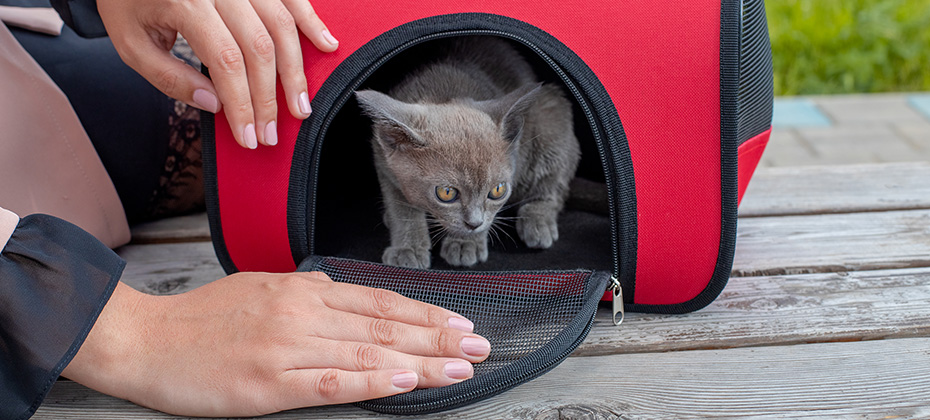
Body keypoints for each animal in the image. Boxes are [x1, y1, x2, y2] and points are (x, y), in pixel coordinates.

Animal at [358, 37, 580, 270]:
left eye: (498, 190)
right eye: (446, 193)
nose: (474, 223)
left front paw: (466, 243)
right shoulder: (383, 164)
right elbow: (401, 209)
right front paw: (407, 249)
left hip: (550, 115)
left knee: (554, 189)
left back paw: (537, 221)